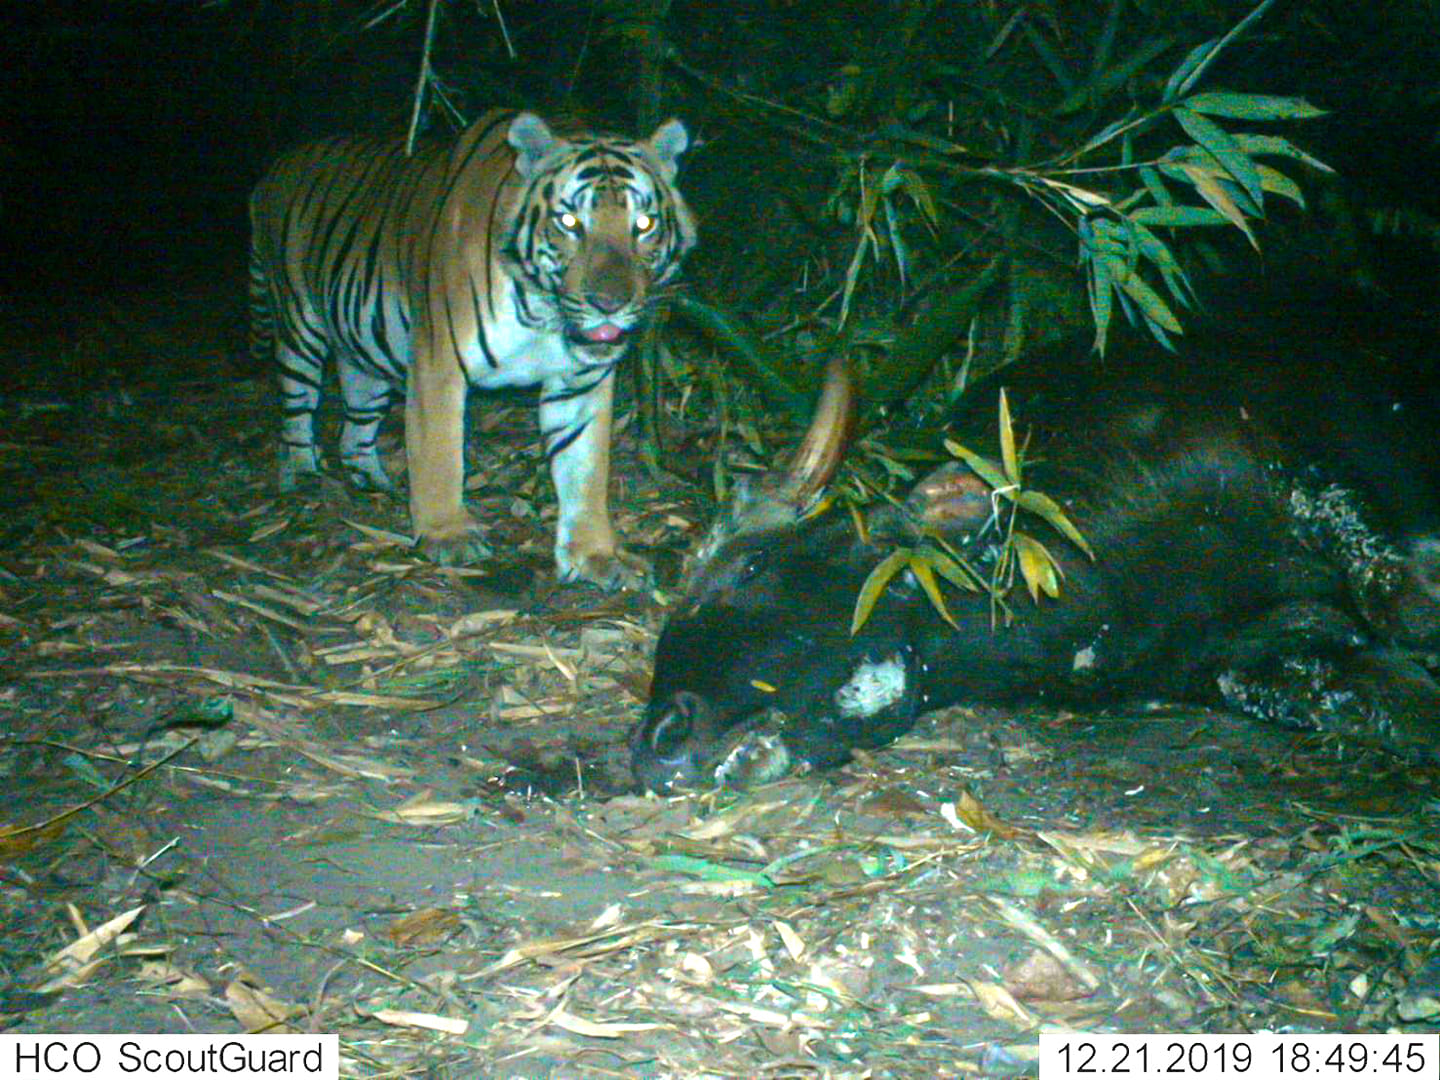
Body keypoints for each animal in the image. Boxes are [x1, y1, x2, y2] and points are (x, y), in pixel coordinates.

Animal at [247, 110, 696, 593]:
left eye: (644, 225)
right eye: (569, 222)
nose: (609, 304)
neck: (544, 314)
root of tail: (274, 169)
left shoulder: (580, 384)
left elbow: (586, 472)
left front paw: (596, 556)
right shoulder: (438, 365)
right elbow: (439, 455)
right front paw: (448, 536)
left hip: (364, 353)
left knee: (355, 428)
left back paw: (372, 482)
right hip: (299, 326)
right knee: (296, 410)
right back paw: (303, 477)